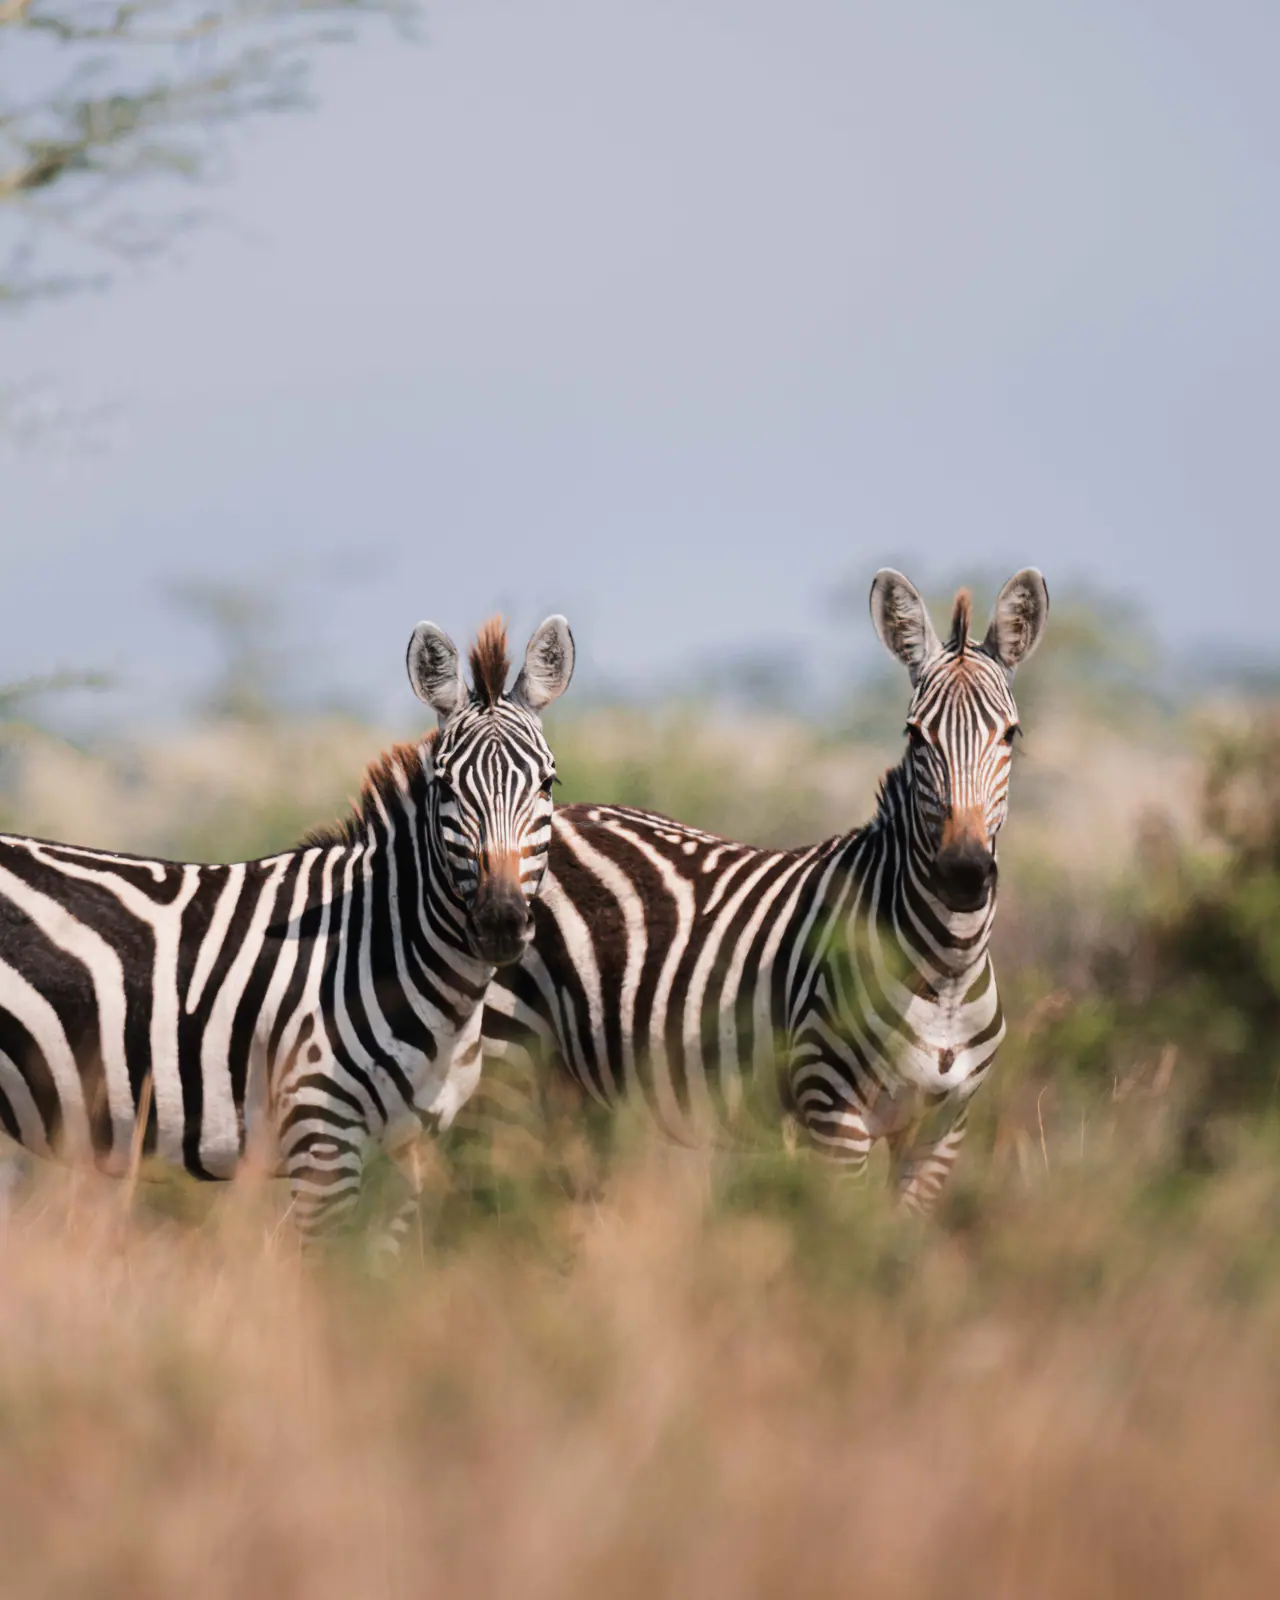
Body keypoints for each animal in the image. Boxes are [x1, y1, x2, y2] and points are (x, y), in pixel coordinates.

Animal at [0, 613, 574, 1243]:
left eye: (548, 784)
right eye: (444, 789)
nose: (500, 921)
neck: (381, 945)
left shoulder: (408, 1151)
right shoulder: (322, 1138)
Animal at [480, 570, 1047, 1212]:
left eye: (1011, 734)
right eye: (915, 735)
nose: (964, 872)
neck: (946, 971)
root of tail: (561, 813)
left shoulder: (940, 1131)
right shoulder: (834, 1113)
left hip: (576, 1087)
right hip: (507, 1057)